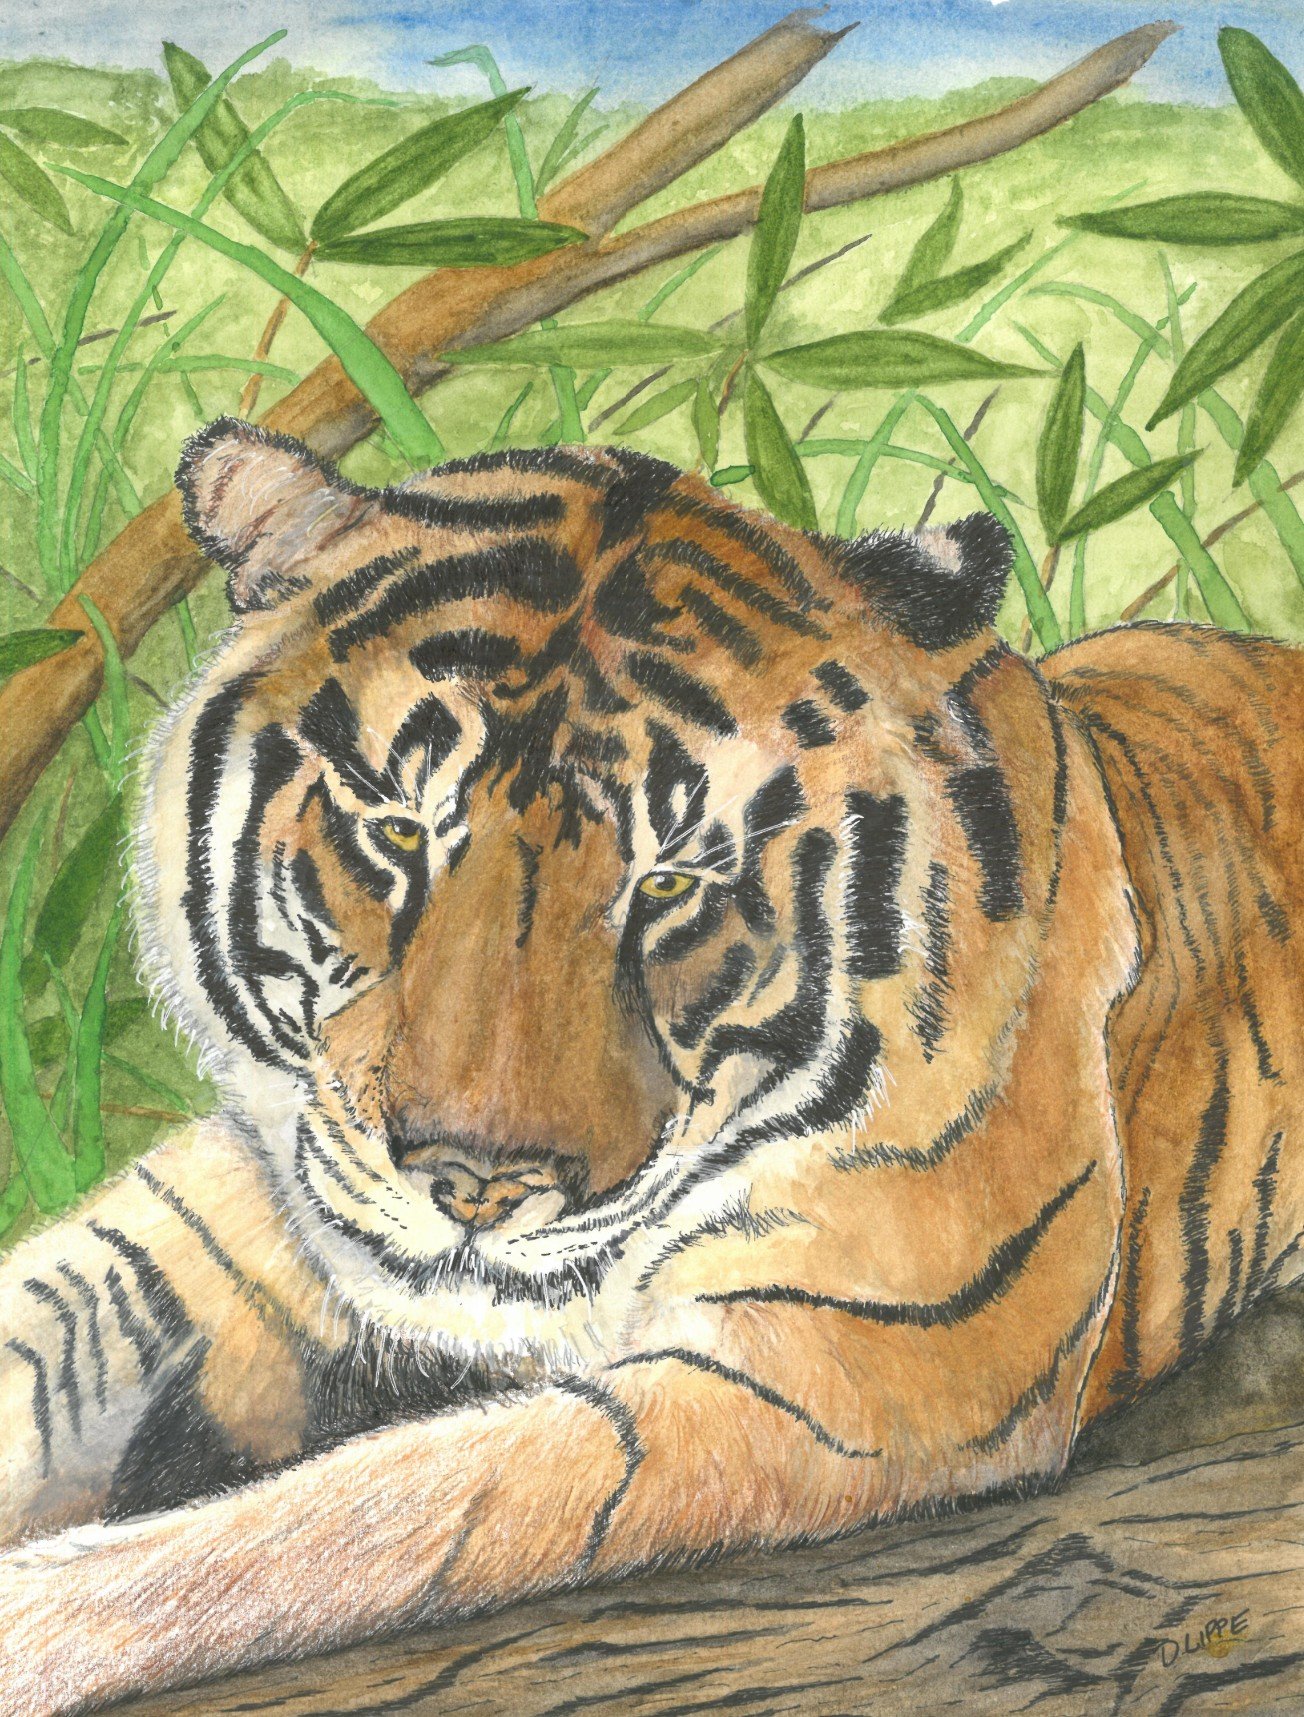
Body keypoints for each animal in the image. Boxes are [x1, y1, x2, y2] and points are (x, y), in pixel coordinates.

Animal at [0, 417, 1299, 1716]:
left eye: (667, 883)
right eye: (398, 832)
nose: (472, 1179)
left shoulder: (845, 1366)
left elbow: (353, 1517)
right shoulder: (205, 1229)